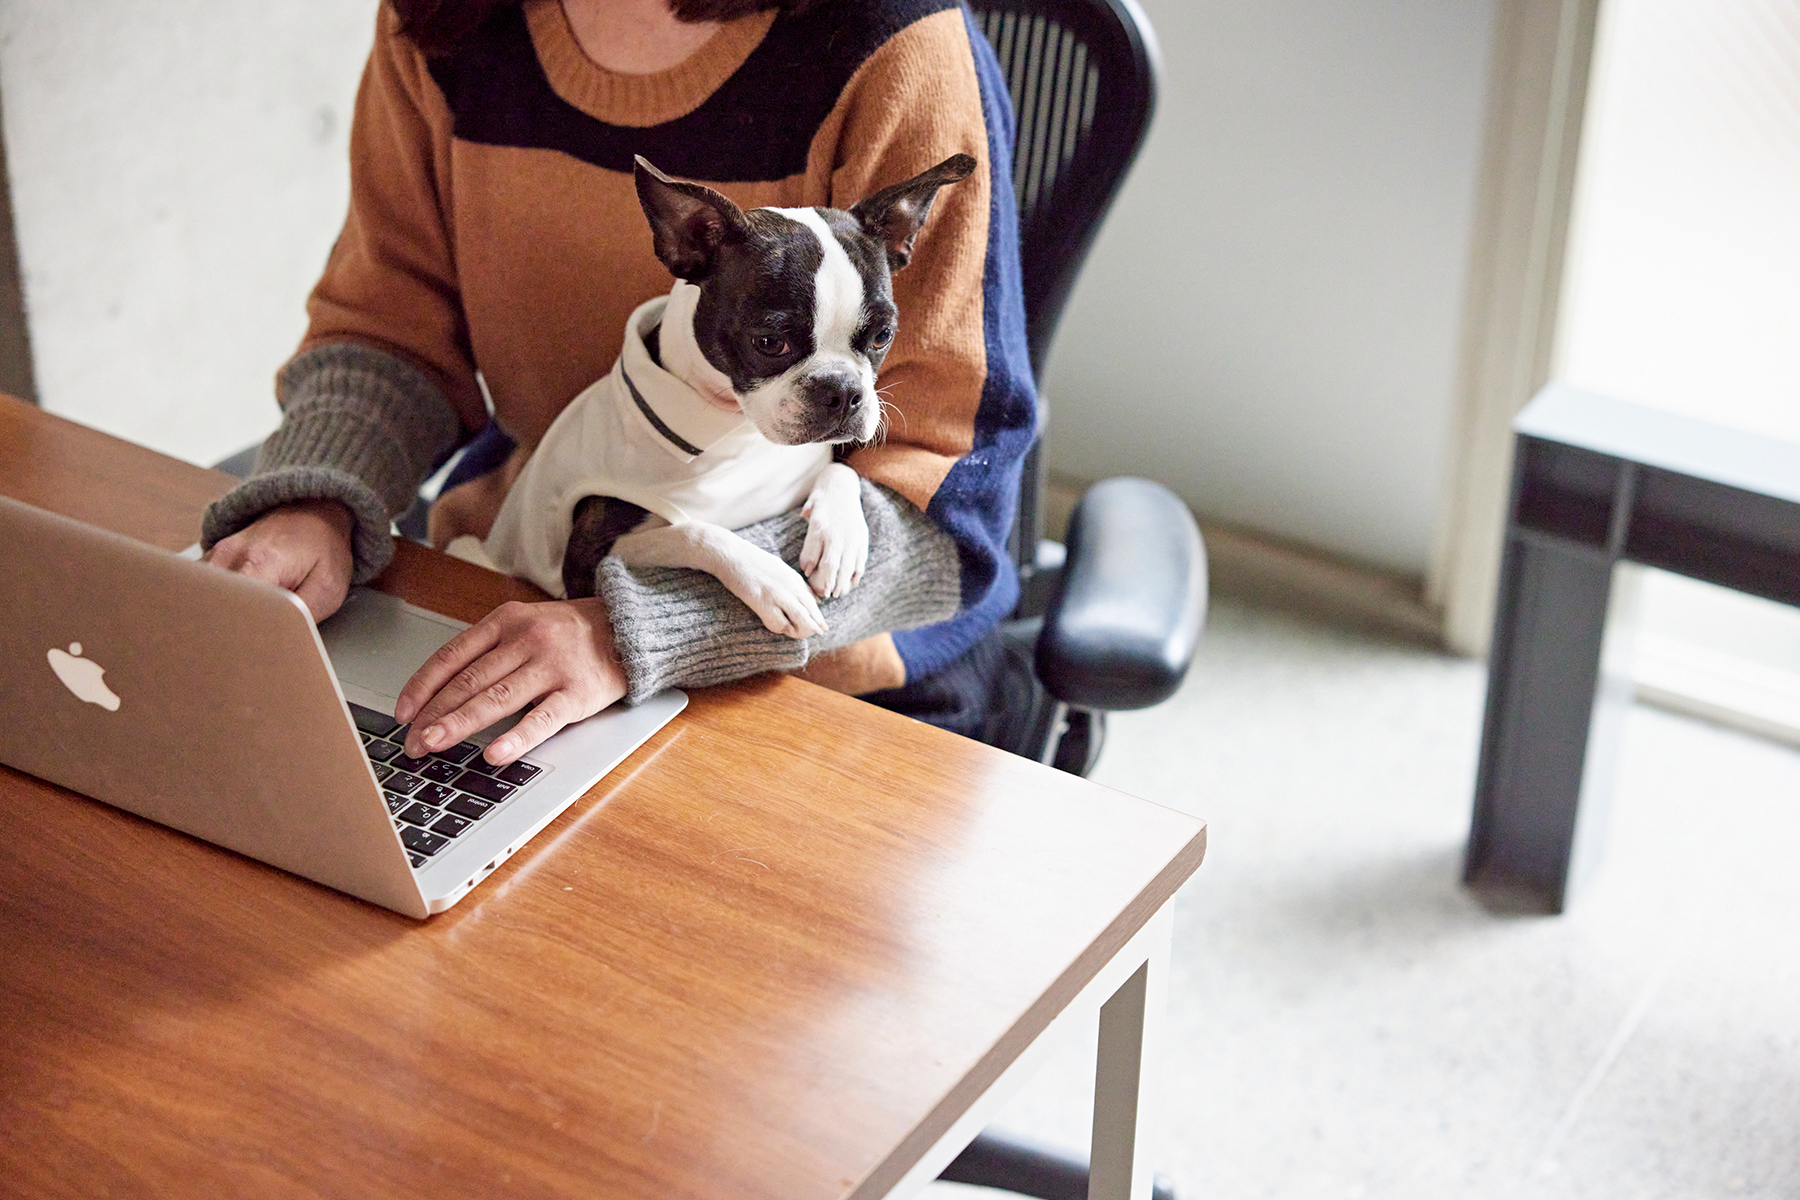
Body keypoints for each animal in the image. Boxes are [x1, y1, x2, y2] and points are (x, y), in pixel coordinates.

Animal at [464, 156, 972, 644]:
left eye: (884, 336)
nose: (843, 391)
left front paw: (840, 538)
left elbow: (841, 470)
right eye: (769, 343)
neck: (739, 430)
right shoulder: (586, 558)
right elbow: (691, 530)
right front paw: (772, 581)